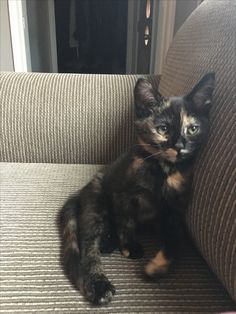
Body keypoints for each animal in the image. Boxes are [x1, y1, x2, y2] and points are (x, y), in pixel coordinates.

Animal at [59, 73, 216, 304]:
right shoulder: (122, 195)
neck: (162, 171)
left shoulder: (175, 208)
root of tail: (80, 193)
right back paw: (99, 282)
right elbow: (126, 222)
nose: (179, 146)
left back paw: (108, 242)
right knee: (89, 248)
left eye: (193, 129)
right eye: (163, 129)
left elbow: (176, 237)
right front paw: (129, 245)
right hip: (96, 205)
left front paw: (158, 266)